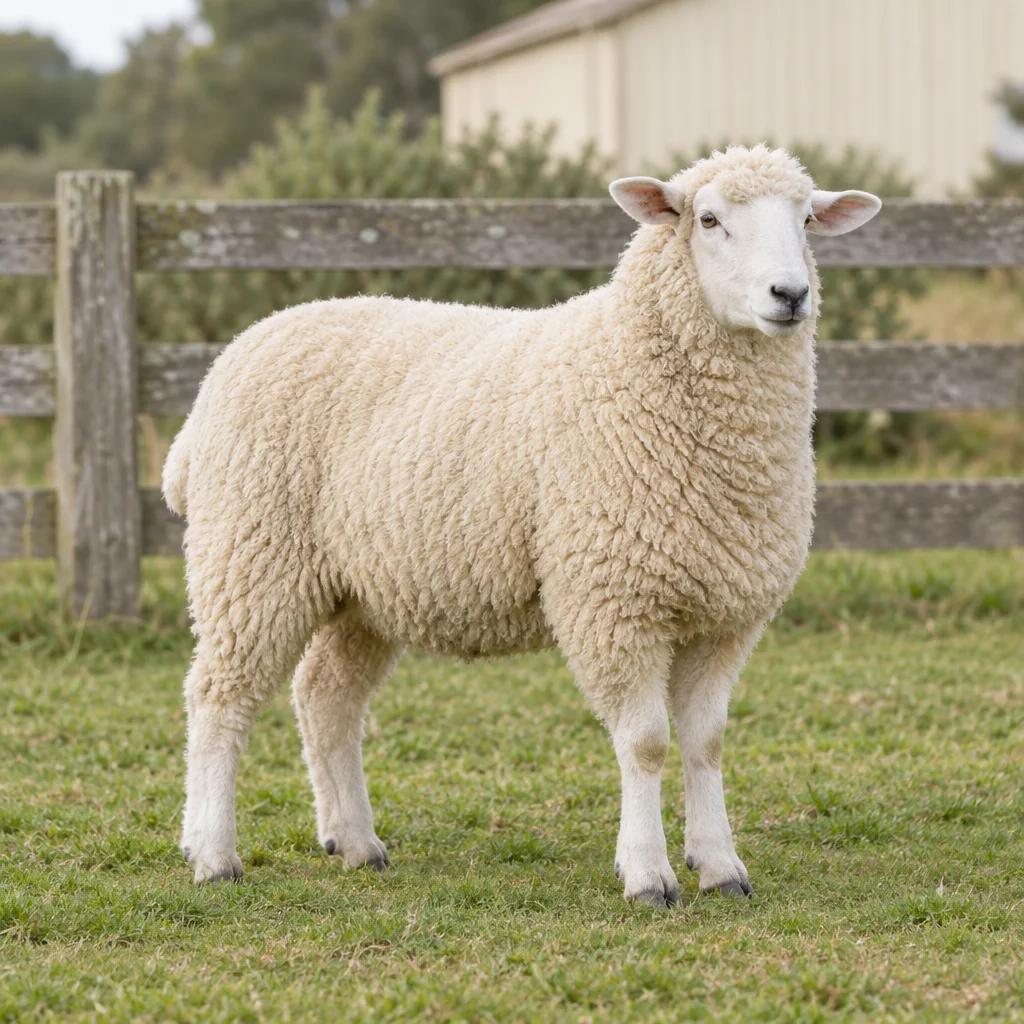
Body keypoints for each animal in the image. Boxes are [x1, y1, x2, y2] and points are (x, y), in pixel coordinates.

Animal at [164, 145, 881, 905]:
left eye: (807, 220)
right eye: (709, 219)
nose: (790, 295)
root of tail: (232, 357)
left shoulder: (726, 612)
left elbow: (705, 741)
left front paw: (719, 866)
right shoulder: (611, 598)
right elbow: (646, 743)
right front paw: (647, 873)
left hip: (362, 589)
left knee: (325, 699)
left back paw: (355, 841)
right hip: (250, 556)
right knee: (217, 700)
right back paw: (212, 852)